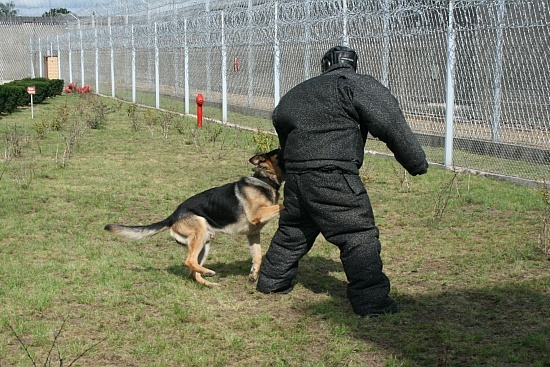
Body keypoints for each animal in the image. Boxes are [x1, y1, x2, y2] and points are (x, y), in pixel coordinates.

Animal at [105, 150, 286, 288]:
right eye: (280, 151)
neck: (265, 180)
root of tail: (173, 216)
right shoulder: (257, 215)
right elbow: (281, 205)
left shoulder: (253, 233)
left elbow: (258, 255)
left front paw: (254, 274)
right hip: (200, 230)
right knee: (189, 261)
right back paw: (208, 272)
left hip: (205, 243)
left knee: (193, 273)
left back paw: (209, 282)